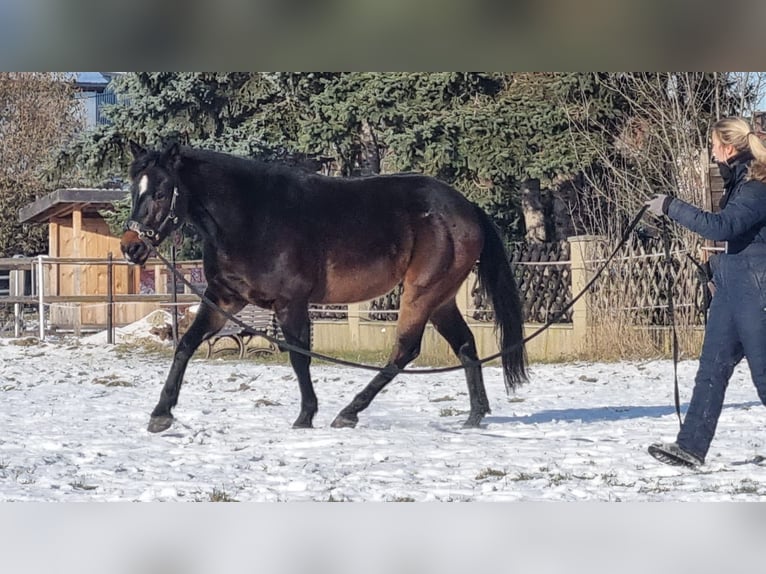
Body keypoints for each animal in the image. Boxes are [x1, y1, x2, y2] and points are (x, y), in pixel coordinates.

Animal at [121, 143, 528, 432]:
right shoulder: (223, 299)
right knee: (465, 344)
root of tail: (467, 208)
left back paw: (349, 412)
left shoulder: (291, 302)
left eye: (161, 191)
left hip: (422, 293)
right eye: (134, 189)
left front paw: (305, 416)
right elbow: (186, 344)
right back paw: (475, 415)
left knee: (406, 350)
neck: (252, 216)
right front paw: (160, 414)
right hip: (441, 298)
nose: (131, 247)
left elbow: (299, 356)